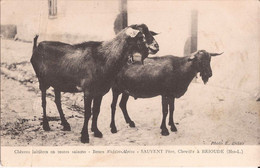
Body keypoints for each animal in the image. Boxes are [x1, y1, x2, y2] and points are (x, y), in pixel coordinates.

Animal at [31, 24, 159, 143]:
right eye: (141, 36)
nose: (156, 46)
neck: (104, 58)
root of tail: (36, 47)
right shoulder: (88, 91)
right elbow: (87, 113)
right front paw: (84, 136)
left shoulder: (99, 91)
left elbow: (96, 111)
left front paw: (96, 131)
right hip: (42, 80)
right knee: (44, 101)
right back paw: (46, 125)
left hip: (57, 83)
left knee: (57, 101)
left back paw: (65, 124)